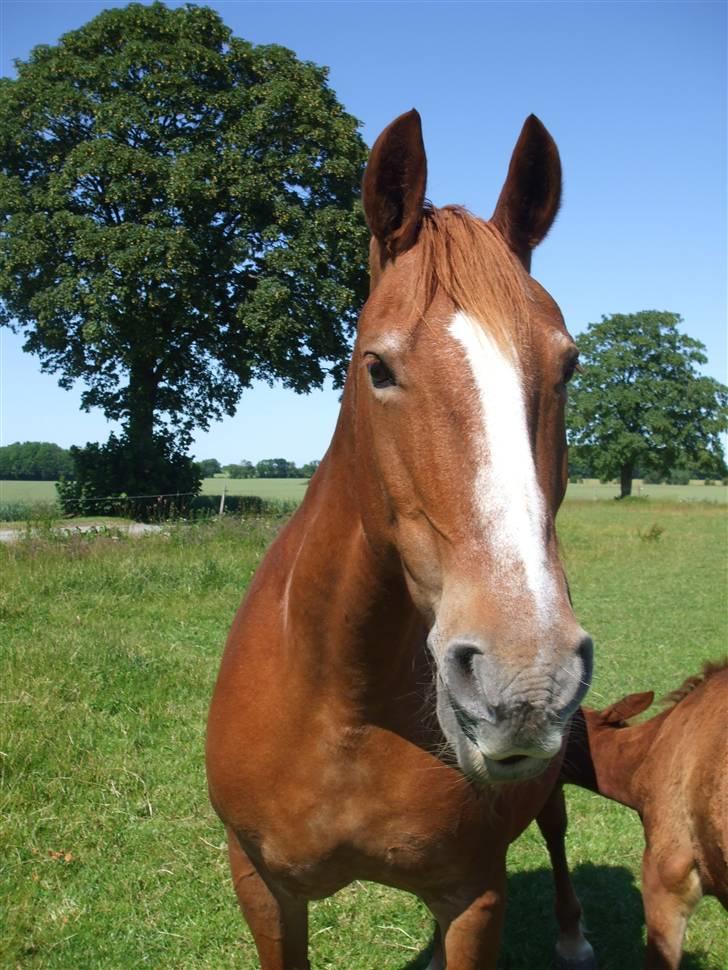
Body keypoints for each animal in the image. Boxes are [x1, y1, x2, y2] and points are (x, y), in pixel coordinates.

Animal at [208, 111, 596, 968]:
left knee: (555, 826)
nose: (524, 678)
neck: (347, 706)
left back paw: (573, 932)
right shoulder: (261, 888)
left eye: (569, 366)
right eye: (377, 367)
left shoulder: (473, 898)